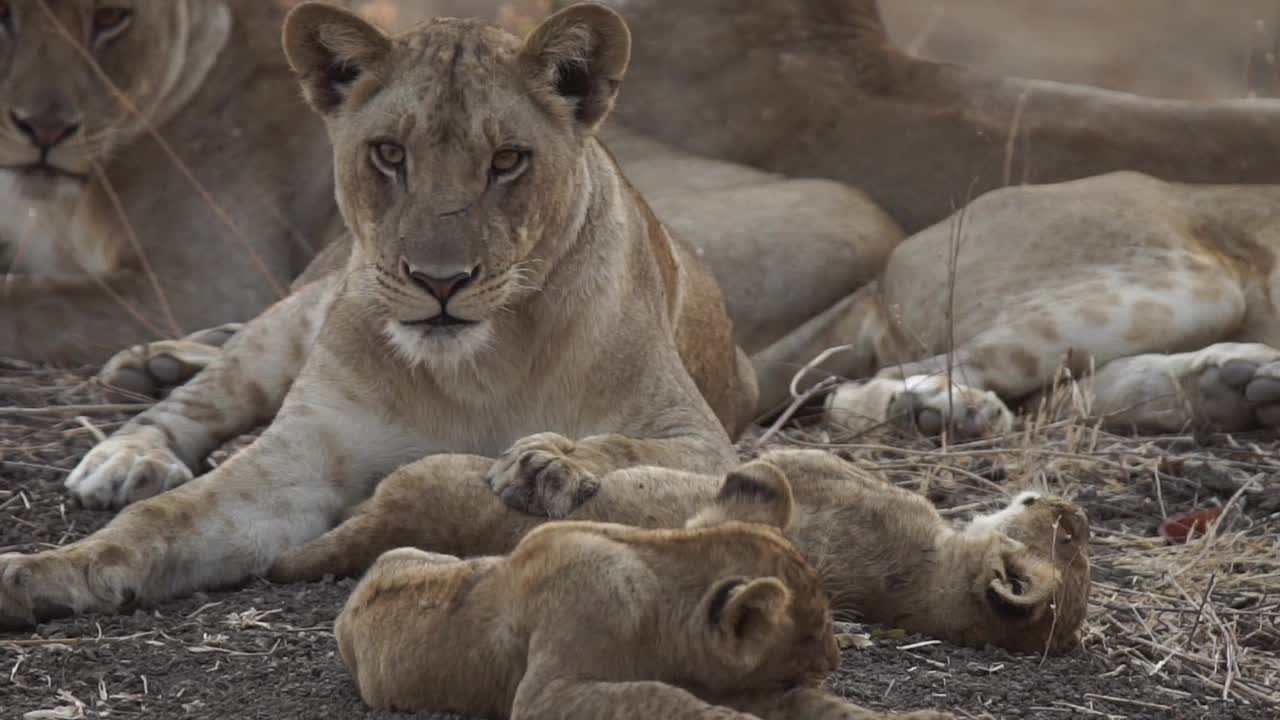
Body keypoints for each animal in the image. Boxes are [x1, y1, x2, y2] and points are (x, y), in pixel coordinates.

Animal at [337, 458, 952, 717]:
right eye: (816, 630)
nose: (835, 659)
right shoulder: (547, 692)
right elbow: (661, 698)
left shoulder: (749, 685)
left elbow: (827, 709)